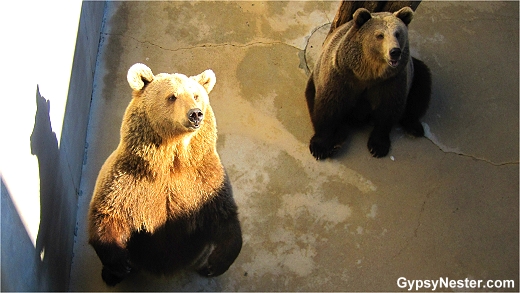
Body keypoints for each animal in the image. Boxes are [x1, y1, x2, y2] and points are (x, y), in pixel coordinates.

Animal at [88, 62, 243, 284]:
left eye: (196, 95)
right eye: (172, 96)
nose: (195, 114)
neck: (171, 160)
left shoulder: (204, 180)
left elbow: (222, 215)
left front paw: (215, 264)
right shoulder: (128, 179)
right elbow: (109, 213)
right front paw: (120, 263)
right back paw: (110, 275)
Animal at [304, 5, 430, 159]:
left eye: (398, 33)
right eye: (380, 35)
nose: (395, 51)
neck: (369, 72)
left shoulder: (392, 80)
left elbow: (389, 109)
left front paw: (378, 146)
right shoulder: (342, 76)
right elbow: (329, 106)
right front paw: (320, 146)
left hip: (414, 71)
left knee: (421, 89)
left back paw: (414, 126)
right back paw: (337, 140)